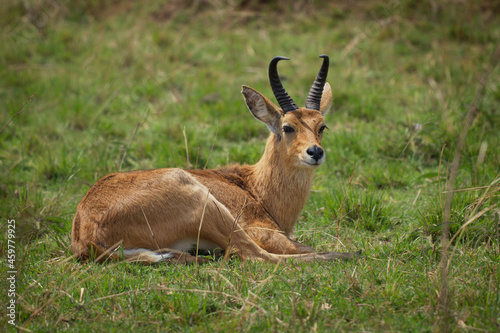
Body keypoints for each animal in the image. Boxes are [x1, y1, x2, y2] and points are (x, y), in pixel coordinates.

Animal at [71, 53, 360, 262]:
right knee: (256, 256)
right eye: (288, 127)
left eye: (322, 126)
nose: (315, 152)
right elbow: (300, 247)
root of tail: (87, 235)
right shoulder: (262, 231)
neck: (254, 188)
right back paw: (350, 254)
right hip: (213, 211)